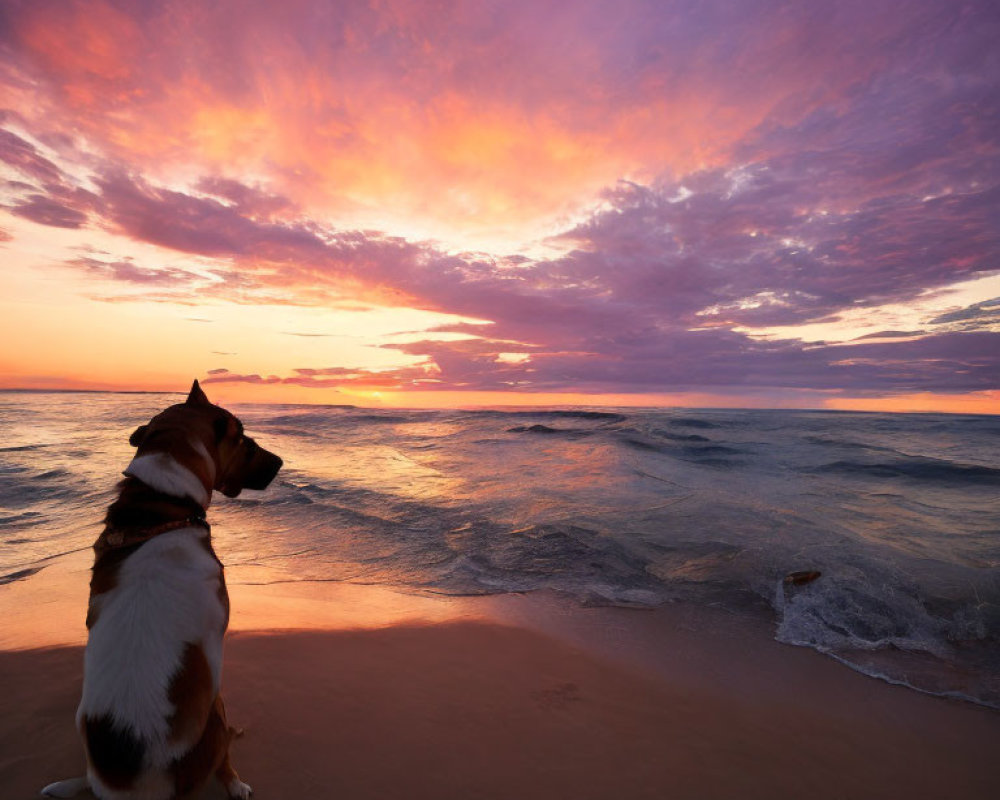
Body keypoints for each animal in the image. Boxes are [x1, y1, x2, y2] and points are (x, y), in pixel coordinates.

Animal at [42, 380, 282, 800]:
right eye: (243, 439)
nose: (281, 463)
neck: (161, 504)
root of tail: (131, 785)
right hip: (213, 723)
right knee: (223, 750)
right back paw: (234, 782)